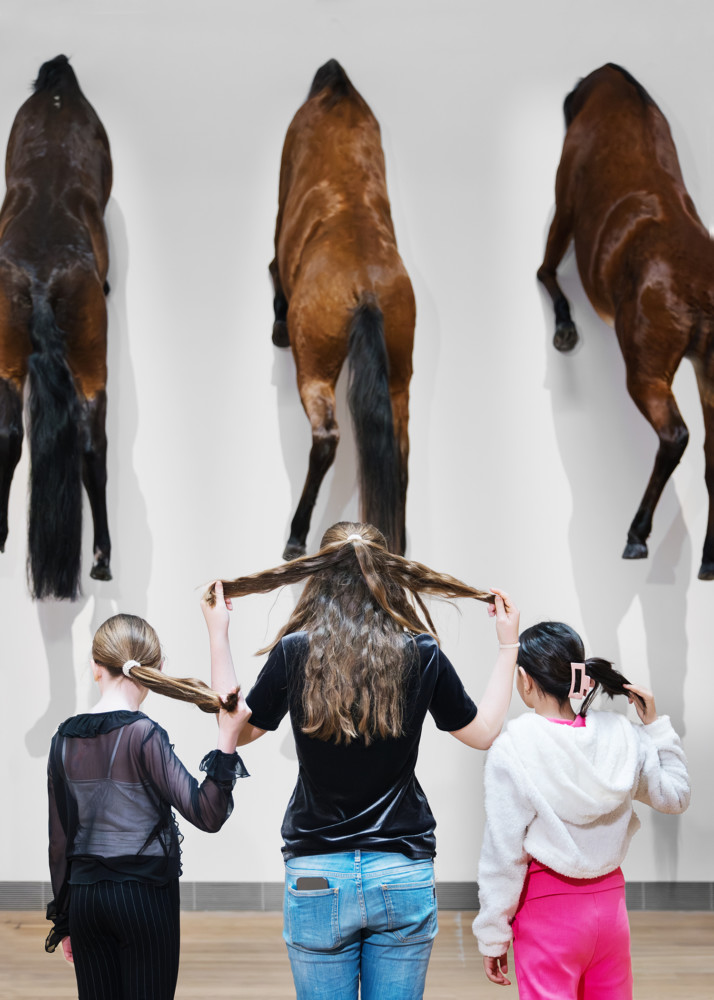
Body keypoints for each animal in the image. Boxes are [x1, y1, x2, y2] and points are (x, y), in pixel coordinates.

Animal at [268, 60, 414, 564]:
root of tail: (365, 287)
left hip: (313, 367)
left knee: (327, 437)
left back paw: (295, 535)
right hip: (399, 376)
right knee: (399, 454)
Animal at [536, 62, 712, 580]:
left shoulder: (565, 208)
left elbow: (545, 271)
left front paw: (565, 328)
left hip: (645, 372)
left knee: (675, 436)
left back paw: (637, 534)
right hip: (707, 371)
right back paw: (709, 557)